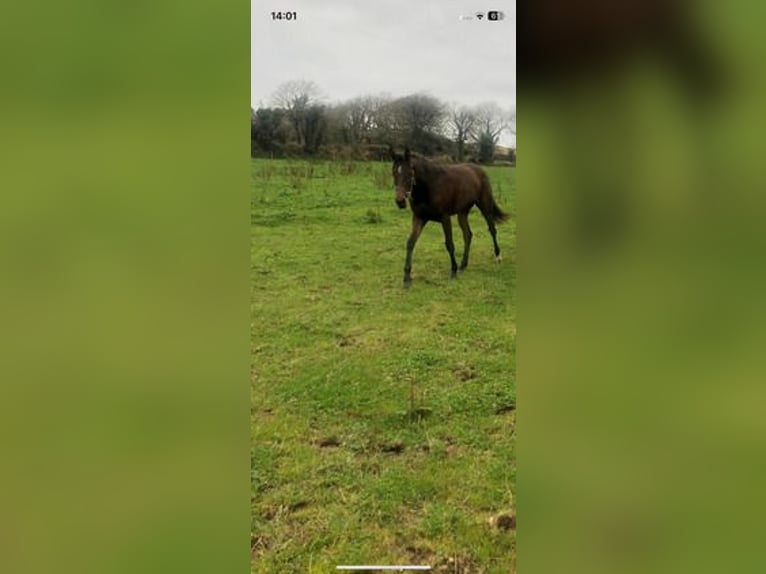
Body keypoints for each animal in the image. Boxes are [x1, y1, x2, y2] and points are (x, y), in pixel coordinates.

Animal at [389, 146, 509, 286]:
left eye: (409, 173)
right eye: (393, 173)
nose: (400, 201)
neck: (429, 187)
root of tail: (479, 170)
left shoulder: (445, 218)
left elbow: (449, 244)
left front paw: (453, 270)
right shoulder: (419, 218)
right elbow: (410, 243)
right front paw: (407, 277)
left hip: (484, 206)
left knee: (492, 229)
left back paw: (498, 256)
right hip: (462, 213)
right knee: (468, 235)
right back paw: (463, 265)